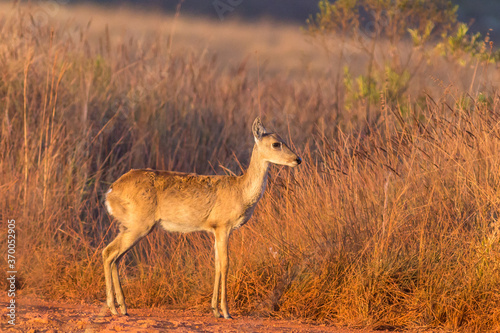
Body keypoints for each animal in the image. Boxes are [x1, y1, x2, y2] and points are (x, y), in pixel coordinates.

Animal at [102, 116, 300, 316]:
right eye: (276, 143)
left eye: (282, 138)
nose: (297, 159)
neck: (241, 191)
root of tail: (110, 191)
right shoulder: (223, 227)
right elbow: (225, 264)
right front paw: (226, 312)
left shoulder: (215, 231)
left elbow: (217, 265)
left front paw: (215, 310)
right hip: (139, 225)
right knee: (109, 252)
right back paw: (114, 308)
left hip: (127, 226)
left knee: (116, 257)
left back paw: (123, 307)